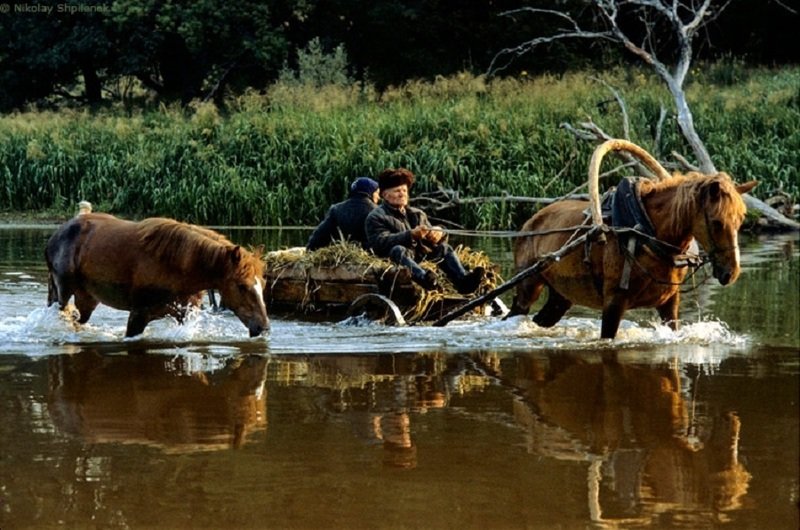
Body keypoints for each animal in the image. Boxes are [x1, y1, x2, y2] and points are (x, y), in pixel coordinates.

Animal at [45, 212, 270, 336]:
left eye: (263, 284)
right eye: (241, 285)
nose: (264, 327)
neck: (180, 267)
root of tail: (56, 235)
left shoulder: (184, 316)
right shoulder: (138, 315)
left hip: (88, 298)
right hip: (63, 293)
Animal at [510, 139, 760, 338]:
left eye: (741, 220)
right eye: (717, 222)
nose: (732, 272)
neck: (647, 233)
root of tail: (528, 225)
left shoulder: (670, 303)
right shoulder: (613, 303)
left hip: (560, 296)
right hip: (528, 288)